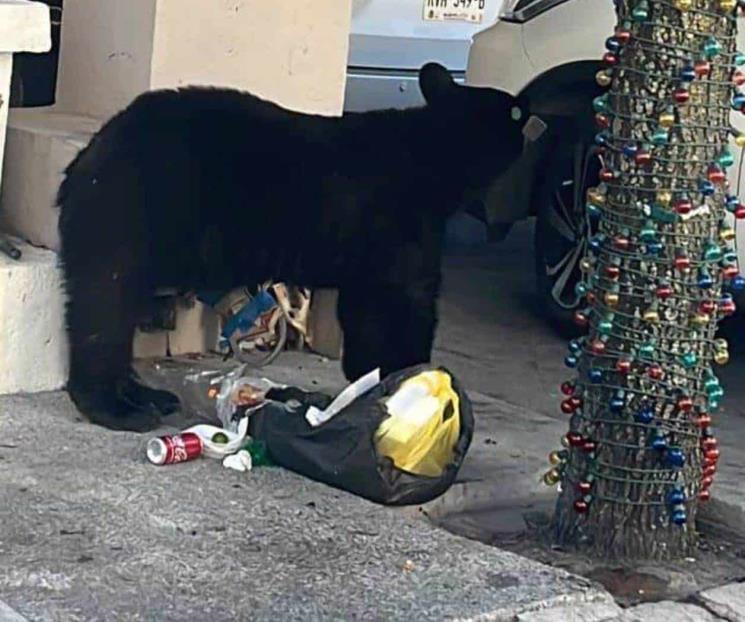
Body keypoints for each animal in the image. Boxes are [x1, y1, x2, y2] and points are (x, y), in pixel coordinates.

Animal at [57, 63, 527, 432]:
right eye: (516, 112)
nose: (530, 119)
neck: (433, 157)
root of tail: (85, 160)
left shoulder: (369, 252)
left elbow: (366, 310)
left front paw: (369, 379)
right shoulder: (400, 225)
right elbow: (404, 303)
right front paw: (407, 379)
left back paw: (146, 395)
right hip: (133, 214)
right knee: (104, 305)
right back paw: (117, 407)